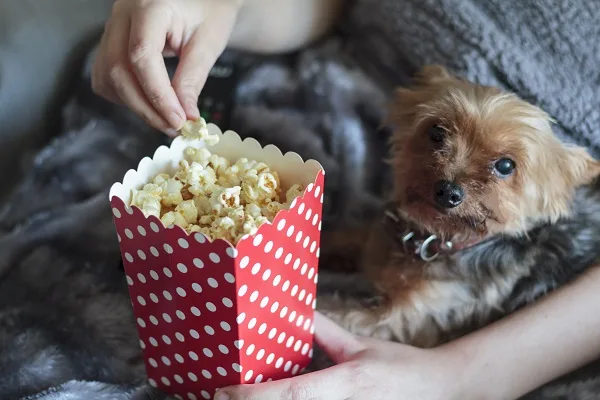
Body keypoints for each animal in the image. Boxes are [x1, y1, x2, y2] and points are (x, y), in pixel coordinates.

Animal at [322, 65, 600, 350]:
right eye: (437, 133)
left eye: (506, 165)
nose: (448, 191)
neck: (432, 241)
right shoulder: (374, 240)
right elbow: (347, 237)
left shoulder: (411, 318)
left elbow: (339, 313)